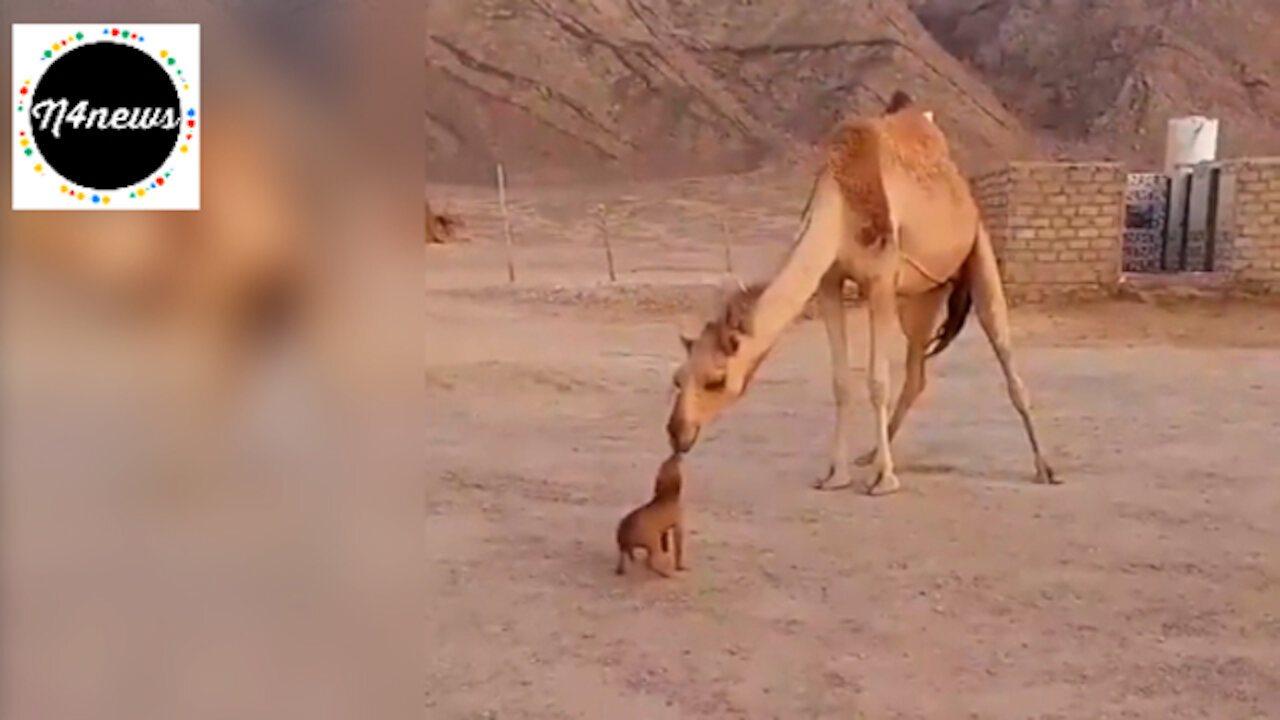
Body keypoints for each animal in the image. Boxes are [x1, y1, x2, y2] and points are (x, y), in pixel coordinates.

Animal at [665, 90, 1054, 491]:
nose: (678, 433)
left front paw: (884, 480)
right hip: (924, 293)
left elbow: (877, 380)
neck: (840, 206)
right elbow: (841, 381)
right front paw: (836, 474)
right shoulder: (829, 282)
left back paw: (1044, 467)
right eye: (677, 378)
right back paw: (870, 454)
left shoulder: (880, 279)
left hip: (977, 245)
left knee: (1002, 344)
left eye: (716, 380)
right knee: (916, 371)